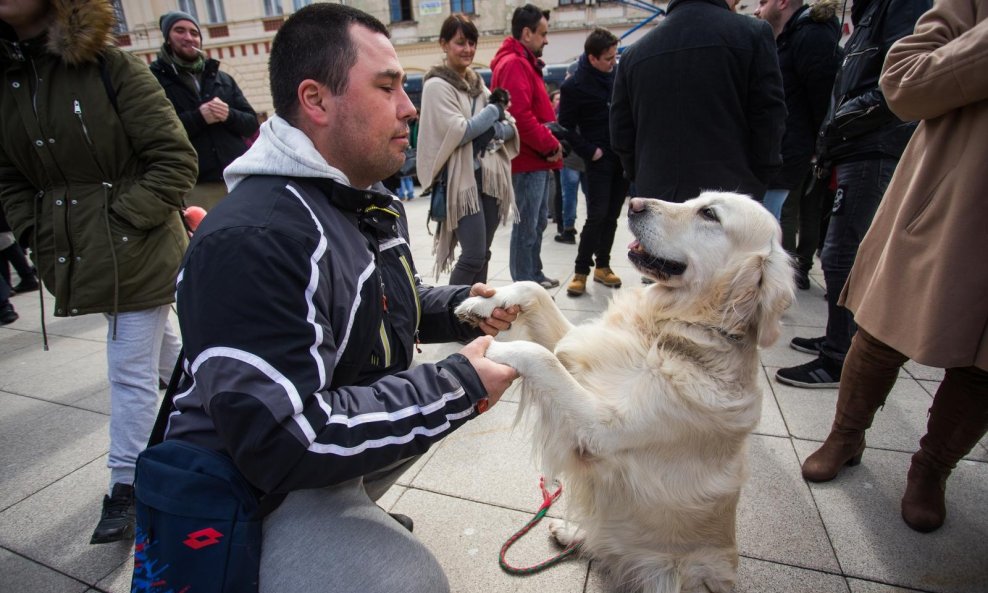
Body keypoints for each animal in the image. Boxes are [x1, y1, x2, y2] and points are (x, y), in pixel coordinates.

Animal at [456, 192, 796, 592]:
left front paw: (484, 355)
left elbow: (542, 357)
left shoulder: (600, 431)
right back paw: (571, 532)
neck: (671, 326)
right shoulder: (578, 351)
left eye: (709, 214)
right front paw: (483, 303)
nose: (633, 203)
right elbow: (534, 290)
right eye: (695, 198)